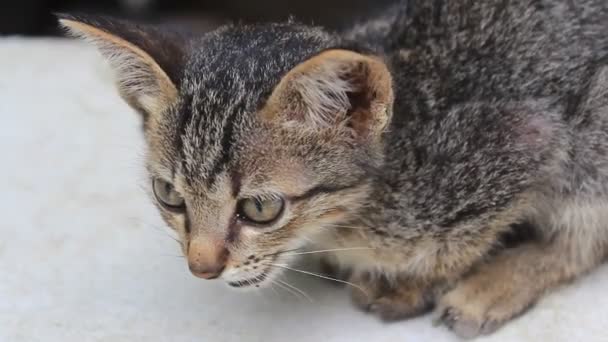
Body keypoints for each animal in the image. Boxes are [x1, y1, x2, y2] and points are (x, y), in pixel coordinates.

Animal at [58, 0, 608, 336]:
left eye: (260, 208)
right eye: (170, 196)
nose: (202, 266)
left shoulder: (526, 139)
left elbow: (462, 245)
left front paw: (412, 283)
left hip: (592, 139)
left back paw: (491, 288)